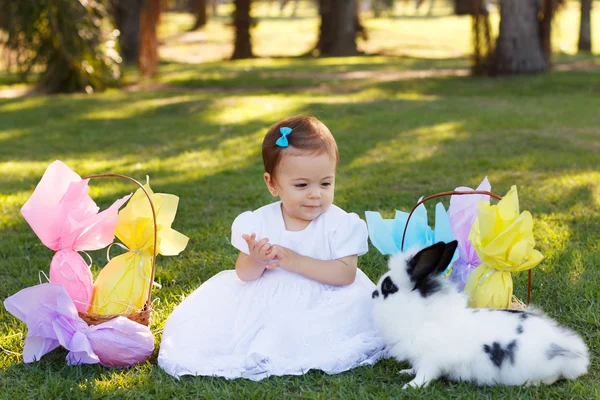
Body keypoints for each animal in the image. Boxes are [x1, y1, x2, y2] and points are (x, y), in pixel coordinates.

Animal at [372, 241, 588, 388]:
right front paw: (404, 372)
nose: (373, 294)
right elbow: (414, 368)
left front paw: (410, 386)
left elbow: (424, 375)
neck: (418, 312)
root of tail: (571, 351)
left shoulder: (430, 360)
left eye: (388, 287)